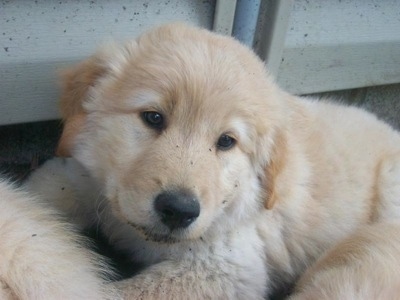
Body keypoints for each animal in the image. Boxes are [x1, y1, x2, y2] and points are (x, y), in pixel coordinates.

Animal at [26, 22, 400, 298]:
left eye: (226, 142)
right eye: (153, 118)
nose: (178, 210)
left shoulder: (226, 268)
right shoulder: (86, 176)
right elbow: (46, 193)